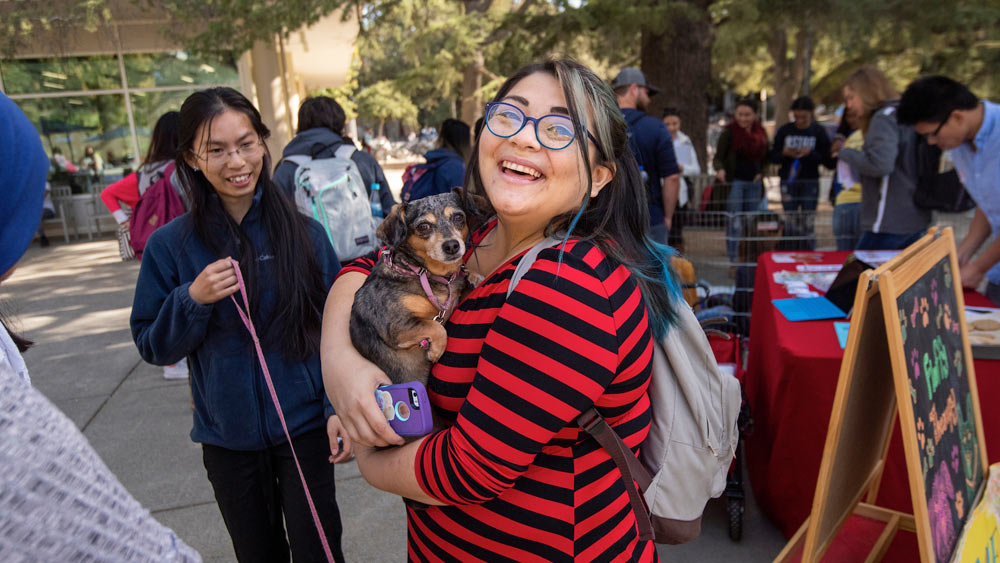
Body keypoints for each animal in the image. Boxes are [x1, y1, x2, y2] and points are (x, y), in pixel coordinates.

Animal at [352, 189, 492, 388]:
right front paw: (436, 350)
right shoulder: (396, 326)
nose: (452, 245)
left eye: (458, 217)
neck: (426, 274)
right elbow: (435, 326)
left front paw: (473, 277)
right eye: (423, 226)